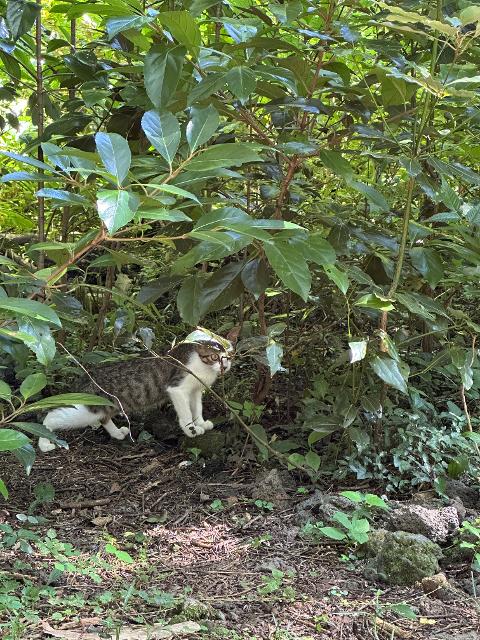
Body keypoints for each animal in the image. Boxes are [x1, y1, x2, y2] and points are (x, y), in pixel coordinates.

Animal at [38, 332, 235, 452]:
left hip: (108, 405)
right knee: (54, 416)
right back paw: (45, 441)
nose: (225, 366)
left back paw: (117, 433)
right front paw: (191, 430)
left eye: (229, 356)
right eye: (215, 357)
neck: (203, 367)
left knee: (104, 418)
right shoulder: (177, 388)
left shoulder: (196, 390)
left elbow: (197, 408)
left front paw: (200, 423)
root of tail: (87, 377)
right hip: (86, 410)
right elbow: (186, 412)